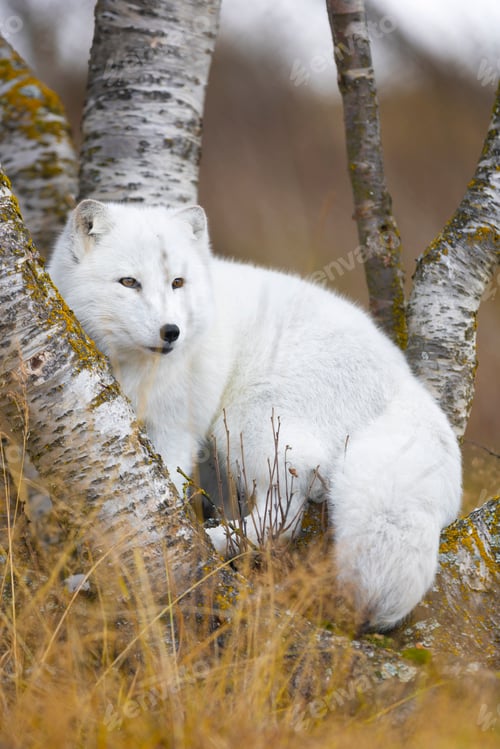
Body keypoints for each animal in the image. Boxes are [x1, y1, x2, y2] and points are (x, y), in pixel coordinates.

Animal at [47, 199, 462, 631]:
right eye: (129, 282)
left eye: (177, 282)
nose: (171, 331)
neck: (129, 369)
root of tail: (404, 382)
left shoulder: (174, 427)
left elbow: (159, 500)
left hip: (251, 424)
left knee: (280, 521)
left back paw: (212, 544)